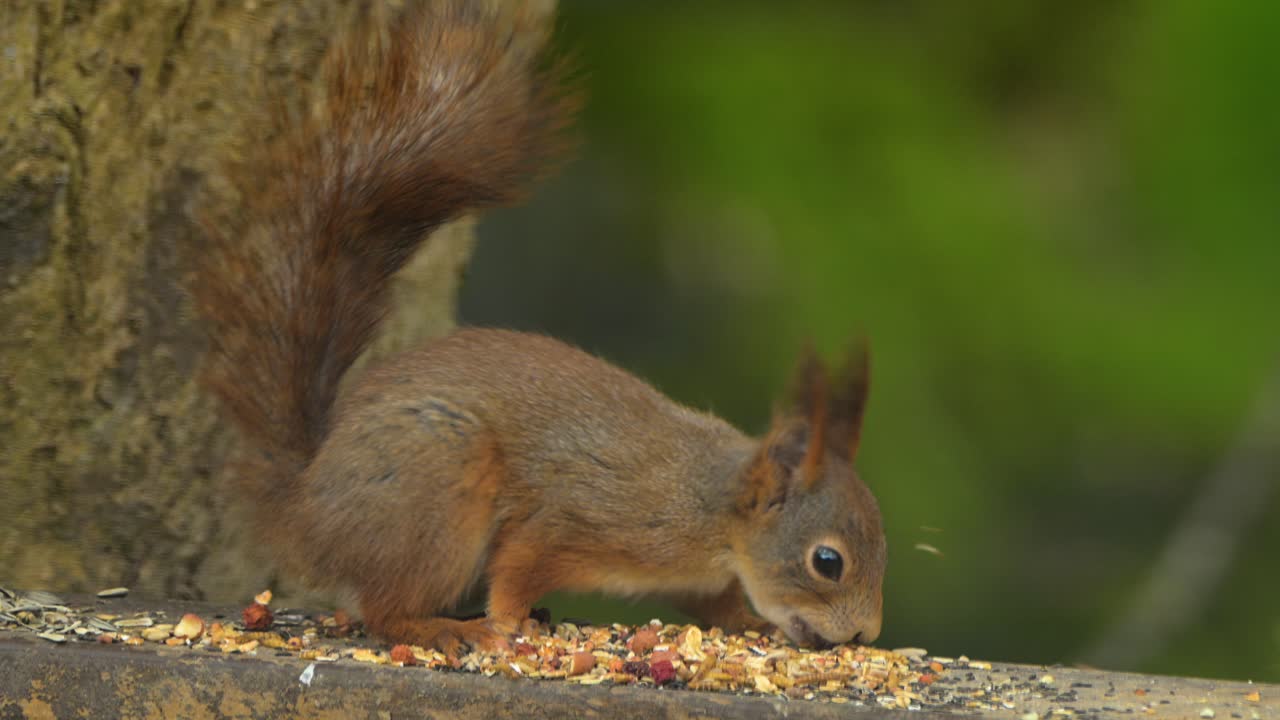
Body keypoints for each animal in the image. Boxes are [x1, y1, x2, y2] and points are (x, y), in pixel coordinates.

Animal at [192, 1, 886, 655]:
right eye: (827, 562)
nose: (864, 635)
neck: (712, 513)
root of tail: (306, 506)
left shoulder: (698, 575)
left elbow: (713, 604)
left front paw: (748, 622)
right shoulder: (578, 518)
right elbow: (519, 565)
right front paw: (509, 620)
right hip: (438, 485)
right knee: (385, 610)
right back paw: (446, 629)